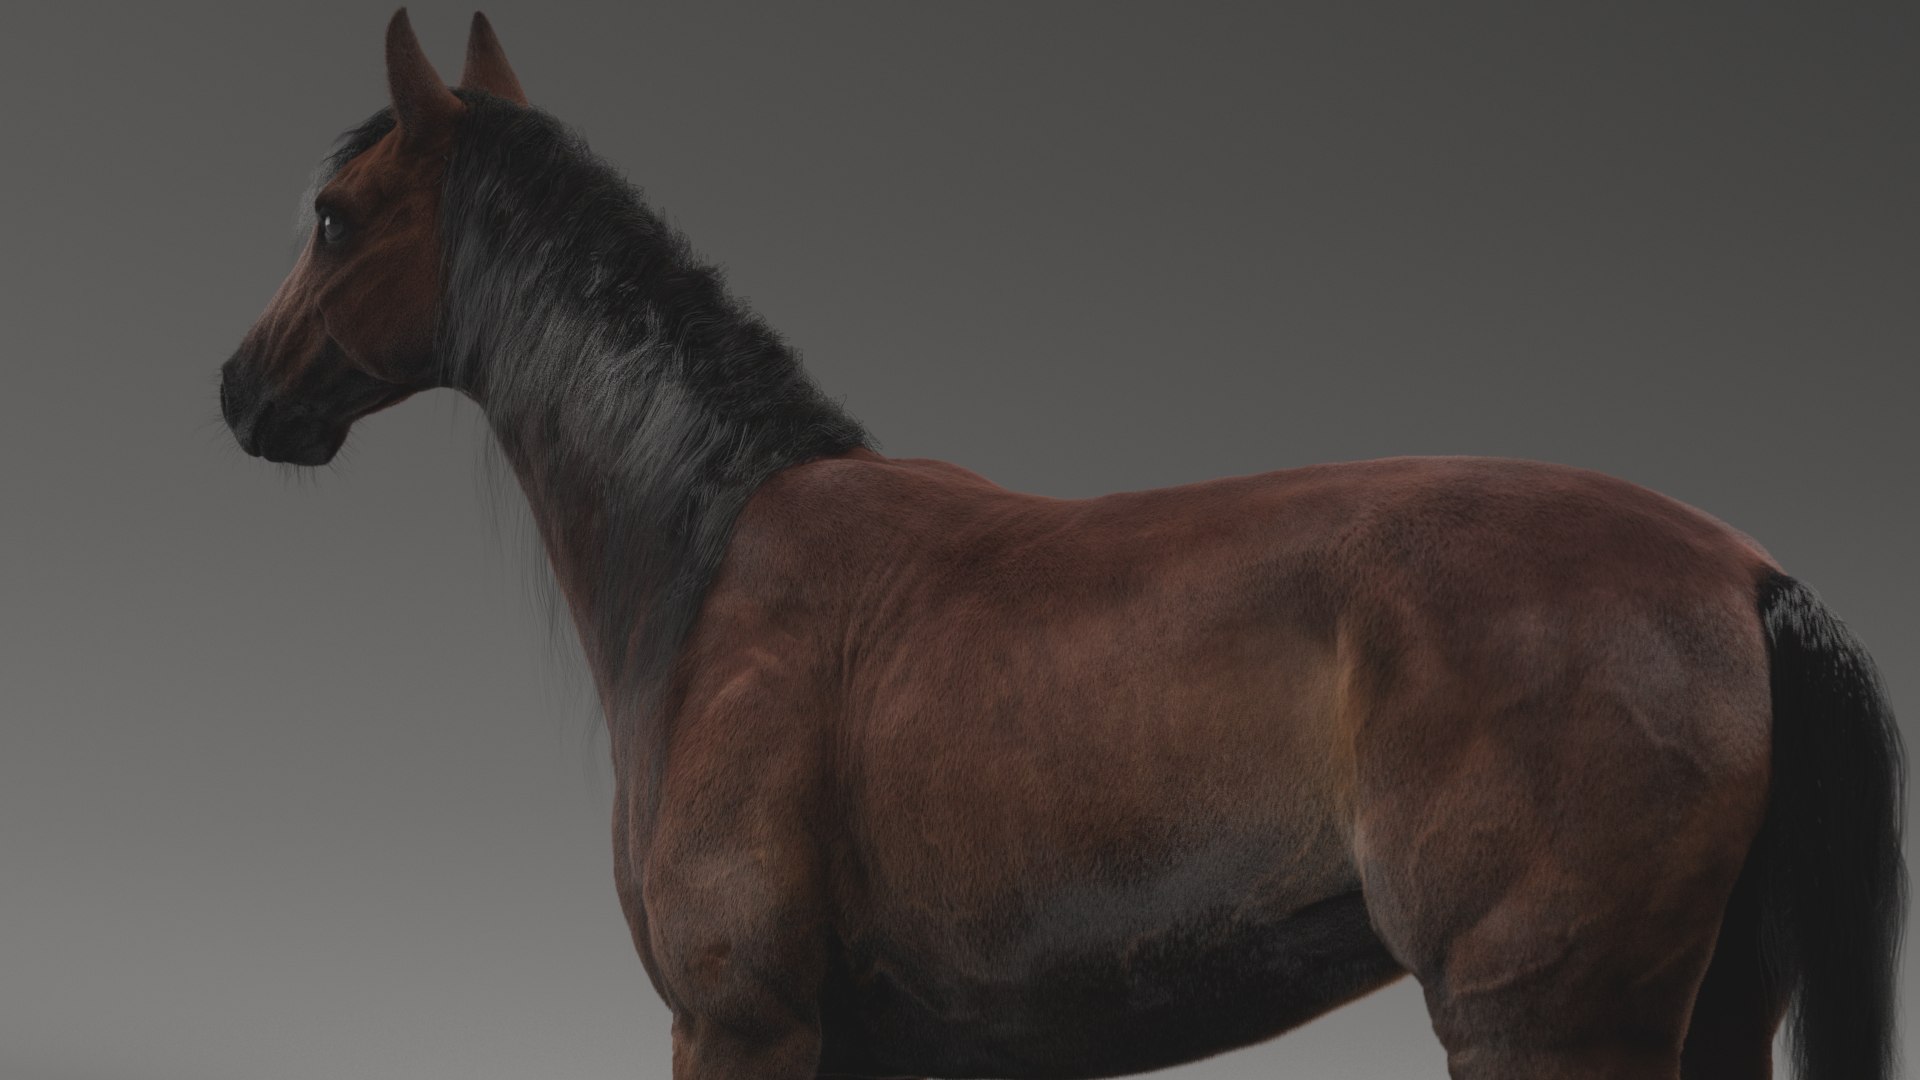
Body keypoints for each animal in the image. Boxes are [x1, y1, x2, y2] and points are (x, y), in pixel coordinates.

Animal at [216, 11, 1905, 1079]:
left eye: (333, 214)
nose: (239, 389)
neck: (714, 567)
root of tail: (1748, 581)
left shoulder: (739, 1023)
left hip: (1546, 1026)